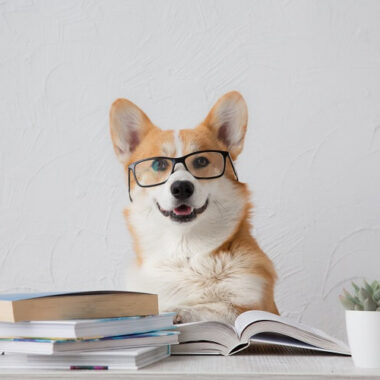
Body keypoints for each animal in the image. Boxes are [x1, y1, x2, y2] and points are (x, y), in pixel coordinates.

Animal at [108, 90, 278, 322]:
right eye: (159, 164)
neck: (186, 249)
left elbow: (216, 308)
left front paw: (179, 311)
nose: (181, 188)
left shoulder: (254, 305)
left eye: (201, 161)